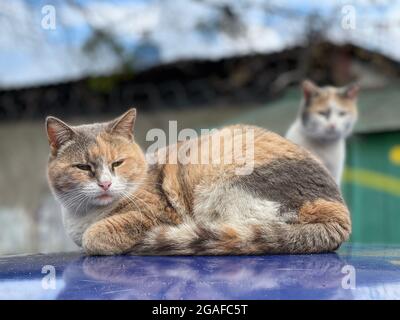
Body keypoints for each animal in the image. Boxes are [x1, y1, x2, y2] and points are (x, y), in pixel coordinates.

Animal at [44, 109, 350, 255]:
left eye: (117, 163)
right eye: (83, 167)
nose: (106, 184)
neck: (84, 215)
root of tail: (338, 213)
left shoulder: (158, 215)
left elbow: (93, 237)